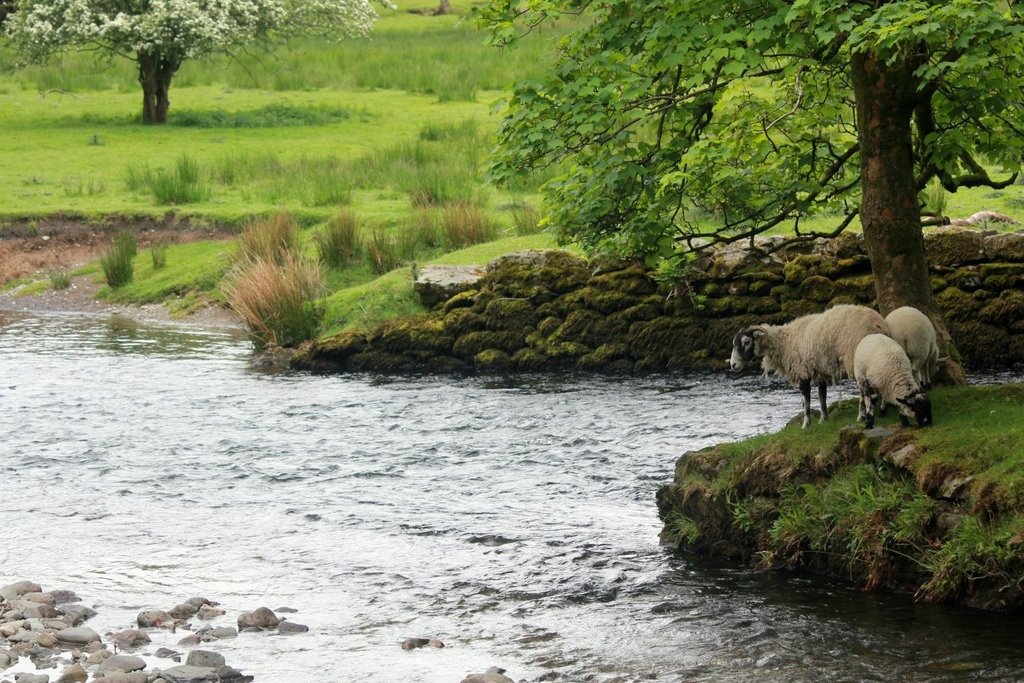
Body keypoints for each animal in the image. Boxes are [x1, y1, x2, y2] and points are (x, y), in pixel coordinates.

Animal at [733, 305, 892, 428]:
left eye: (746, 342)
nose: (733, 365)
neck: (785, 343)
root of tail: (878, 324)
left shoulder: (802, 371)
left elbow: (806, 401)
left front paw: (806, 424)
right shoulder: (819, 371)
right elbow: (822, 397)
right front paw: (823, 419)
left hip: (854, 358)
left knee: (863, 391)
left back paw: (862, 415)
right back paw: (882, 409)